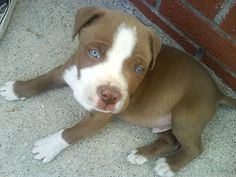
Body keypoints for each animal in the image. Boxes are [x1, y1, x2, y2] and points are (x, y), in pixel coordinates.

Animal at [0, 6, 236, 177]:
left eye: (140, 69)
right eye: (93, 53)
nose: (110, 96)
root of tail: (217, 91)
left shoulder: (99, 118)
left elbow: (73, 132)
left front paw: (49, 145)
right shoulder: (65, 71)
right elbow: (42, 80)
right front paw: (16, 88)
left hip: (186, 116)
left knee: (194, 147)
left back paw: (168, 165)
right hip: (162, 120)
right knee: (170, 140)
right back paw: (142, 154)